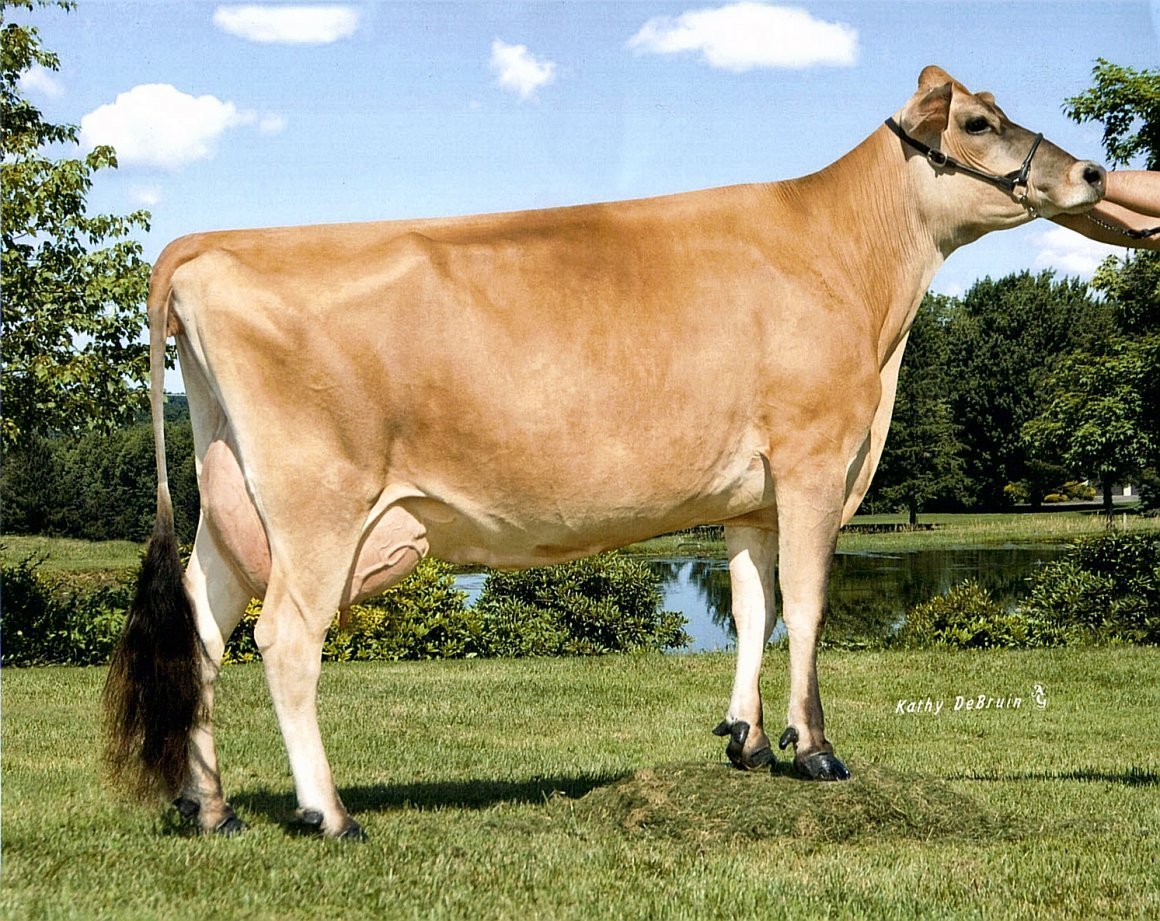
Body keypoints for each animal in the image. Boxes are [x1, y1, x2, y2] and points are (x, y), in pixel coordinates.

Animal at [104, 66, 1106, 840]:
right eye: (978, 123)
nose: (1093, 170)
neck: (855, 276)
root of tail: (205, 245)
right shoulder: (817, 462)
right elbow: (809, 606)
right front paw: (815, 749)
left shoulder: (752, 496)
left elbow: (754, 608)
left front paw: (744, 740)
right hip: (316, 503)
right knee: (285, 637)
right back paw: (329, 813)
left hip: (230, 499)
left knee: (200, 634)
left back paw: (212, 806)